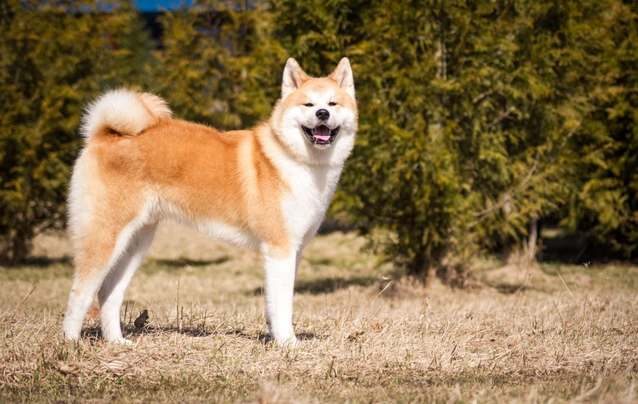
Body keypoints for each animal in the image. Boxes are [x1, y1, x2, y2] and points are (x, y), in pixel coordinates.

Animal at [63, 57, 360, 348]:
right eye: (308, 104)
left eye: (332, 104)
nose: (322, 114)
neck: (294, 160)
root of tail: (106, 133)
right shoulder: (279, 248)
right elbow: (284, 304)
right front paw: (289, 344)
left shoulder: (292, 250)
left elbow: (275, 304)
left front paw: (276, 338)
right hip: (105, 237)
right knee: (79, 293)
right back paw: (70, 344)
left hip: (136, 242)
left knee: (108, 293)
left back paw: (116, 342)